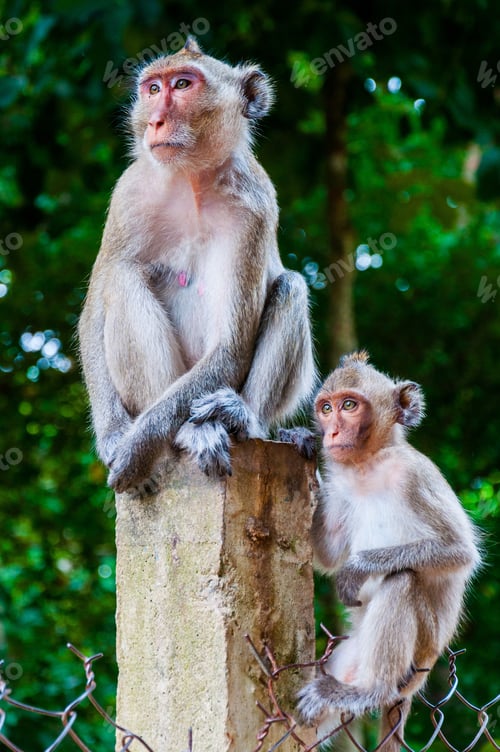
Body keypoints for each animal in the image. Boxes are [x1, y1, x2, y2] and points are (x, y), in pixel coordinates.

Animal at [78, 38, 315, 493]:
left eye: (183, 85)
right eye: (153, 89)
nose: (155, 120)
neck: (191, 180)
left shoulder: (256, 204)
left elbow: (231, 345)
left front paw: (137, 448)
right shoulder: (128, 193)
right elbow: (93, 313)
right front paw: (116, 436)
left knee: (290, 288)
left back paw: (239, 419)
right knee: (122, 279)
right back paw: (187, 433)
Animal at [297, 351, 481, 750]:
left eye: (349, 406)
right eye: (326, 408)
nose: (331, 433)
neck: (367, 464)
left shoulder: (416, 475)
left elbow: (460, 552)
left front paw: (357, 568)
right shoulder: (342, 486)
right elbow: (329, 553)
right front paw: (300, 442)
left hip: (420, 654)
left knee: (402, 580)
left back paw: (372, 690)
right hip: (352, 655)